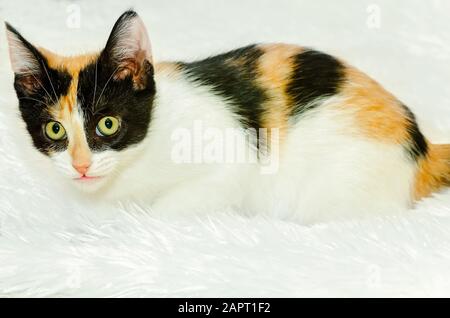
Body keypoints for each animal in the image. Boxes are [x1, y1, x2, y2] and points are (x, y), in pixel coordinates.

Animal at [4, 10, 450, 224]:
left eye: (107, 124)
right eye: (55, 129)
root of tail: (422, 149)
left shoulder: (231, 155)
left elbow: (170, 208)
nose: (81, 166)